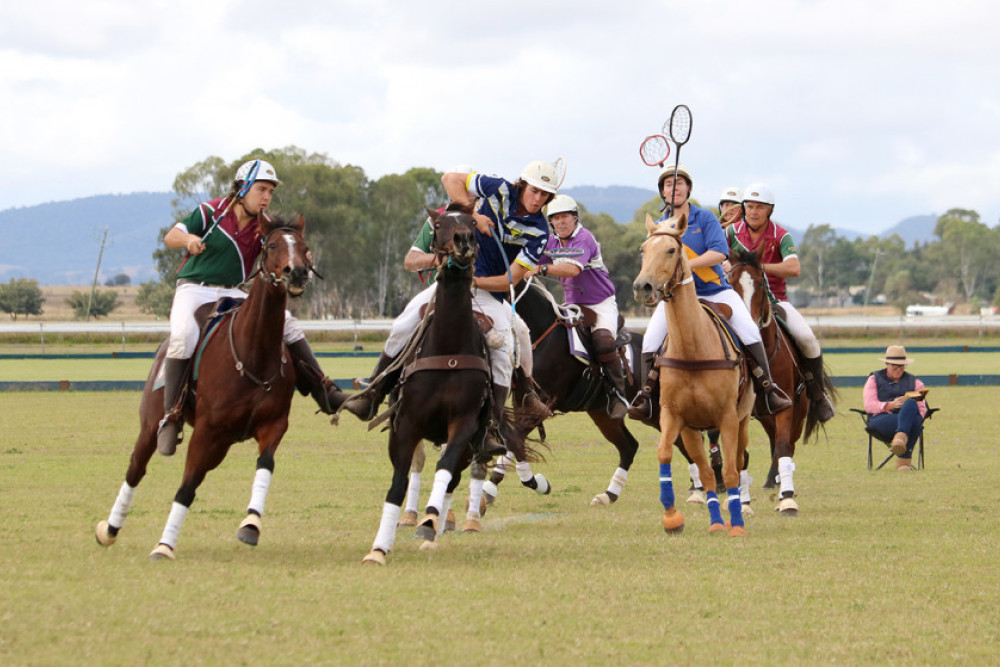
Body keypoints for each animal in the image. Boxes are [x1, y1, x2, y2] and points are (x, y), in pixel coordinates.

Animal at [94, 215, 312, 560]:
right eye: (274, 245)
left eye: (304, 247)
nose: (298, 272)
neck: (254, 352)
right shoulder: (207, 431)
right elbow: (186, 487)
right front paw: (164, 545)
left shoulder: (273, 424)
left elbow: (265, 464)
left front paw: (251, 524)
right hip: (152, 426)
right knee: (136, 469)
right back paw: (110, 529)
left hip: (222, 444)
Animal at [360, 202, 532, 564]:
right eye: (438, 225)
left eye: (472, 225)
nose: (463, 240)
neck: (448, 345)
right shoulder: (405, 425)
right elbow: (398, 482)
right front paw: (379, 548)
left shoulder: (464, 424)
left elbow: (444, 469)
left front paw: (429, 523)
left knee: (454, 476)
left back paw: (436, 526)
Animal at [632, 214, 752, 536]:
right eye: (643, 249)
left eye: (672, 250)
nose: (642, 287)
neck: (693, 347)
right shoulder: (677, 417)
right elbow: (669, 455)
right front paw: (674, 518)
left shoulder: (727, 417)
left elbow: (729, 471)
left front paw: (736, 525)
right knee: (709, 469)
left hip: (744, 416)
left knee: (739, 461)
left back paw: (739, 510)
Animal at [724, 248, 832, 516]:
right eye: (730, 283)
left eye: (761, 283)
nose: (748, 325)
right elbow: (741, 453)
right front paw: (740, 500)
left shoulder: (788, 404)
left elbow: (784, 446)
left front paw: (788, 499)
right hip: (764, 414)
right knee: (772, 439)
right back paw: (771, 479)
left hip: (800, 408)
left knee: (787, 443)